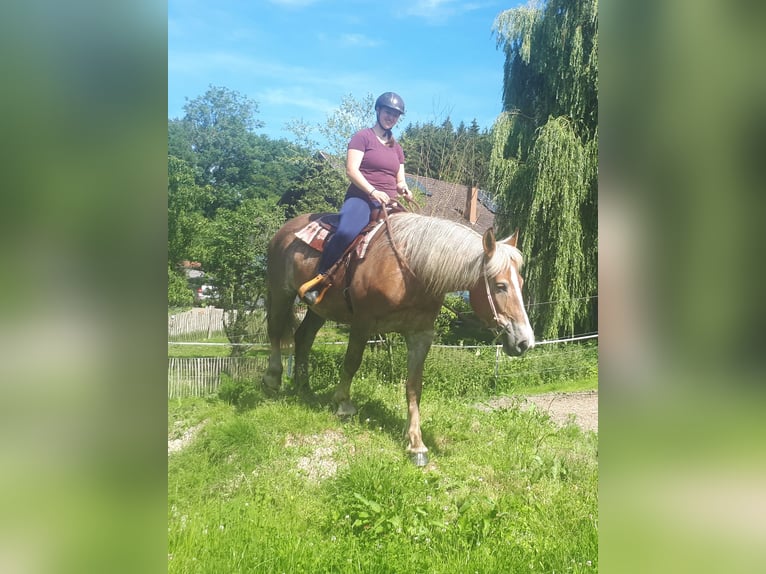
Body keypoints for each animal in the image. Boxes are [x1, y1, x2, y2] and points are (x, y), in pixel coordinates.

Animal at [262, 212, 536, 468]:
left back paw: (303, 387)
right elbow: (351, 363)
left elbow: (414, 386)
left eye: (521, 283)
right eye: (500, 286)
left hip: (320, 309)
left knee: (304, 337)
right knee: (275, 330)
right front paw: (343, 404)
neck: (411, 272)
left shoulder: (420, 335)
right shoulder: (362, 324)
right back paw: (273, 379)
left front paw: (416, 443)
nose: (525, 342)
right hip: (281, 292)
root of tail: (285, 230)